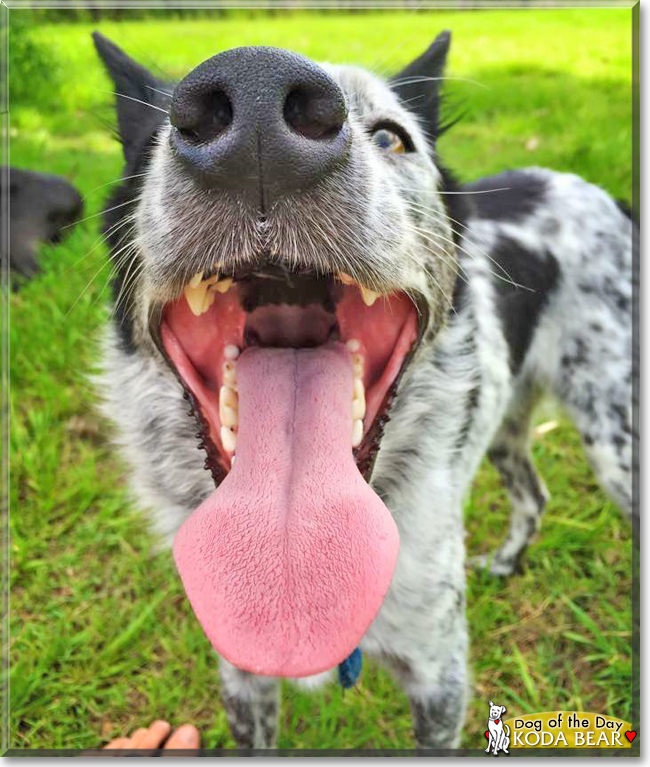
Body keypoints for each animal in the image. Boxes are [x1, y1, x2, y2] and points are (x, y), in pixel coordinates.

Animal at [92, 31, 632, 752]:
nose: (258, 108)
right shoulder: (243, 678)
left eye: (391, 138)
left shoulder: (440, 678)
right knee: (533, 493)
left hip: (615, 440)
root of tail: (598, 192)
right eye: (152, 141)